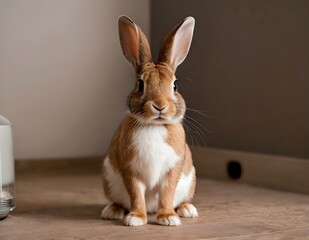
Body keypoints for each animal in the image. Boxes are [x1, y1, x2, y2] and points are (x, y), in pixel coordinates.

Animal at [101, 15, 197, 227]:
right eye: (140, 84)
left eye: (175, 85)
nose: (160, 106)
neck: (154, 126)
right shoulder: (131, 171)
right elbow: (136, 194)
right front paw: (136, 219)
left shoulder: (172, 171)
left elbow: (167, 194)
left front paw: (168, 218)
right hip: (109, 179)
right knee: (119, 200)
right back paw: (112, 211)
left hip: (190, 180)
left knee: (181, 199)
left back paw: (187, 210)